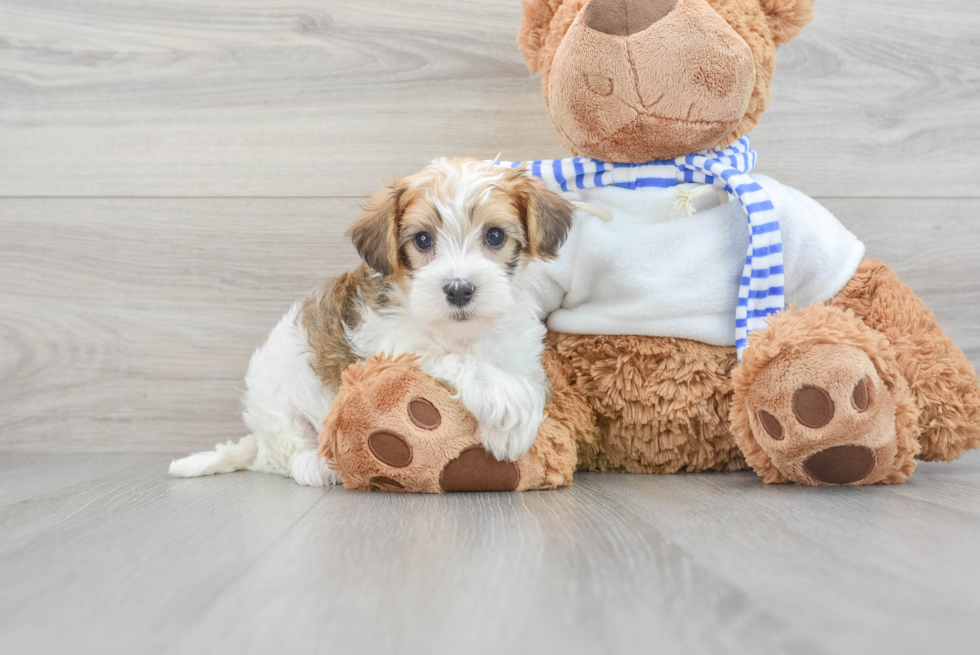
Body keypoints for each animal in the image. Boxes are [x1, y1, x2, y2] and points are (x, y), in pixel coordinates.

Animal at [167, 159, 576, 486]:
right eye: (423, 240)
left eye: (494, 235)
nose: (459, 289)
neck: (462, 331)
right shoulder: (392, 351)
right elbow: (450, 359)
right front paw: (508, 410)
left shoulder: (520, 353)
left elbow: (532, 384)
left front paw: (518, 416)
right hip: (275, 403)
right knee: (287, 454)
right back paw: (318, 465)